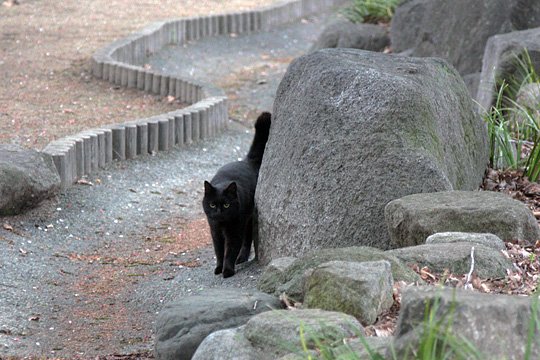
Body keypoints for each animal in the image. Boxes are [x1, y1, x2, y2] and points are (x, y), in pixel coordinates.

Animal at [201, 112, 272, 278]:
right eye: (212, 204)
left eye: (227, 204)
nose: (219, 212)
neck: (222, 224)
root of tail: (248, 161)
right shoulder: (215, 231)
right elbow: (219, 252)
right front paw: (219, 268)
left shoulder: (235, 231)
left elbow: (230, 251)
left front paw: (227, 270)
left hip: (248, 219)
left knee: (247, 239)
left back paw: (241, 258)